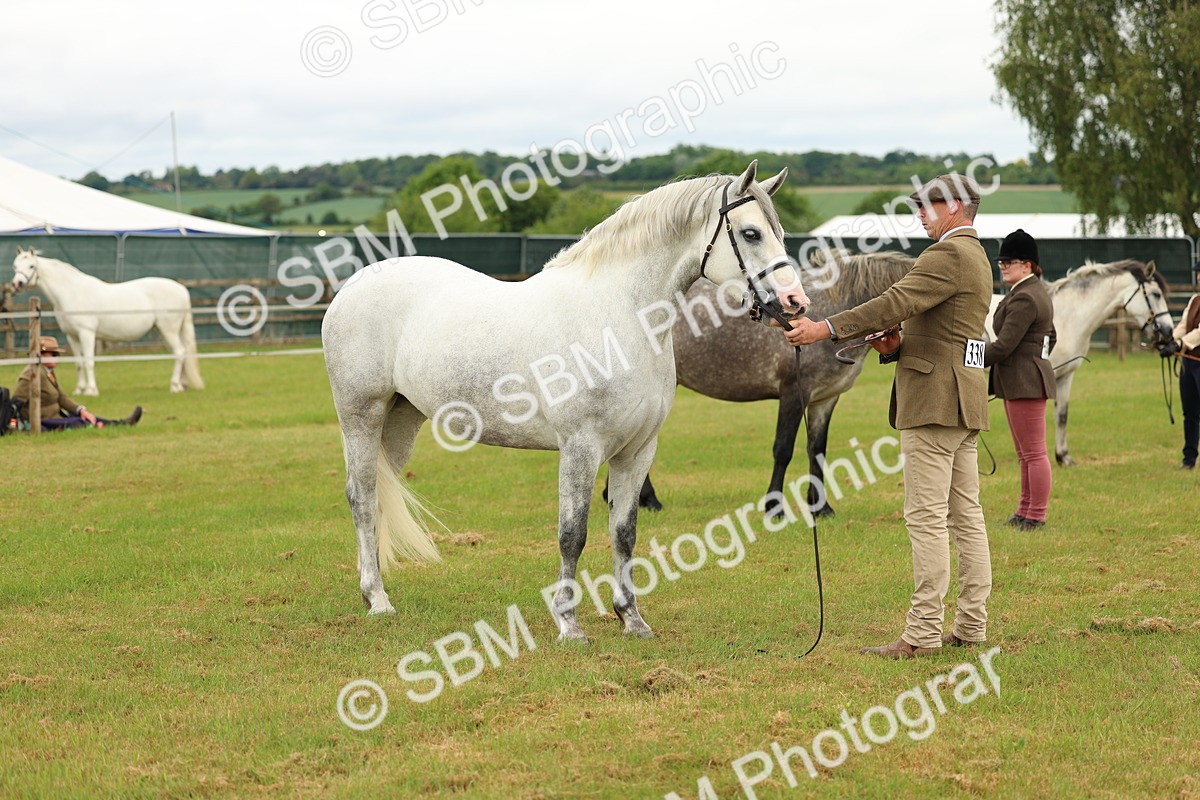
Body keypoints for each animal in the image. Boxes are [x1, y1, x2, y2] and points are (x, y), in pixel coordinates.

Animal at [10, 248, 204, 395]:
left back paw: (174, 386)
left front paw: (91, 390)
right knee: (182, 353)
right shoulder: (72, 336)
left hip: (168, 329)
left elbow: (89, 361)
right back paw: (182, 385)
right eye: (15, 266)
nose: (16, 284)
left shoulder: (87, 333)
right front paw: (79, 390)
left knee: (179, 352)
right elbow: (79, 363)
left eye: (31, 265)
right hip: (166, 331)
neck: (72, 292)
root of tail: (181, 289)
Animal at [322, 162, 808, 641]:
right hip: (361, 415)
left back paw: (375, 592)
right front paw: (568, 624)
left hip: (401, 419)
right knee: (362, 497)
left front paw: (631, 619)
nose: (795, 302)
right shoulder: (580, 447)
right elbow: (572, 534)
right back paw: (378, 600)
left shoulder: (638, 450)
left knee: (379, 496)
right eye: (751, 233)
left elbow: (624, 533)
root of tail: (350, 289)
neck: (617, 317)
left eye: (779, 231)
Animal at [626, 248, 915, 517]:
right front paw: (774, 507)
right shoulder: (793, 394)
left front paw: (821, 508)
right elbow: (783, 449)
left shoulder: (825, 399)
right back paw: (649, 500)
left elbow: (817, 449)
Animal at [986, 258, 1174, 467]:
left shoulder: (1065, 376)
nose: (1168, 331)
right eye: (1156, 294)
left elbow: (1062, 415)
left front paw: (1064, 457)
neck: (1067, 317)